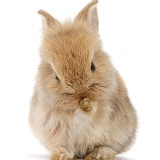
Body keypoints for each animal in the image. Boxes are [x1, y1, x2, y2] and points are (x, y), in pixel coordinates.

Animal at [28, 0, 138, 160]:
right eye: (56, 77)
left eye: (92, 66)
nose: (81, 95)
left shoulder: (105, 103)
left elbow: (95, 110)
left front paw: (87, 105)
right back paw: (60, 155)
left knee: (109, 147)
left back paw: (100, 154)